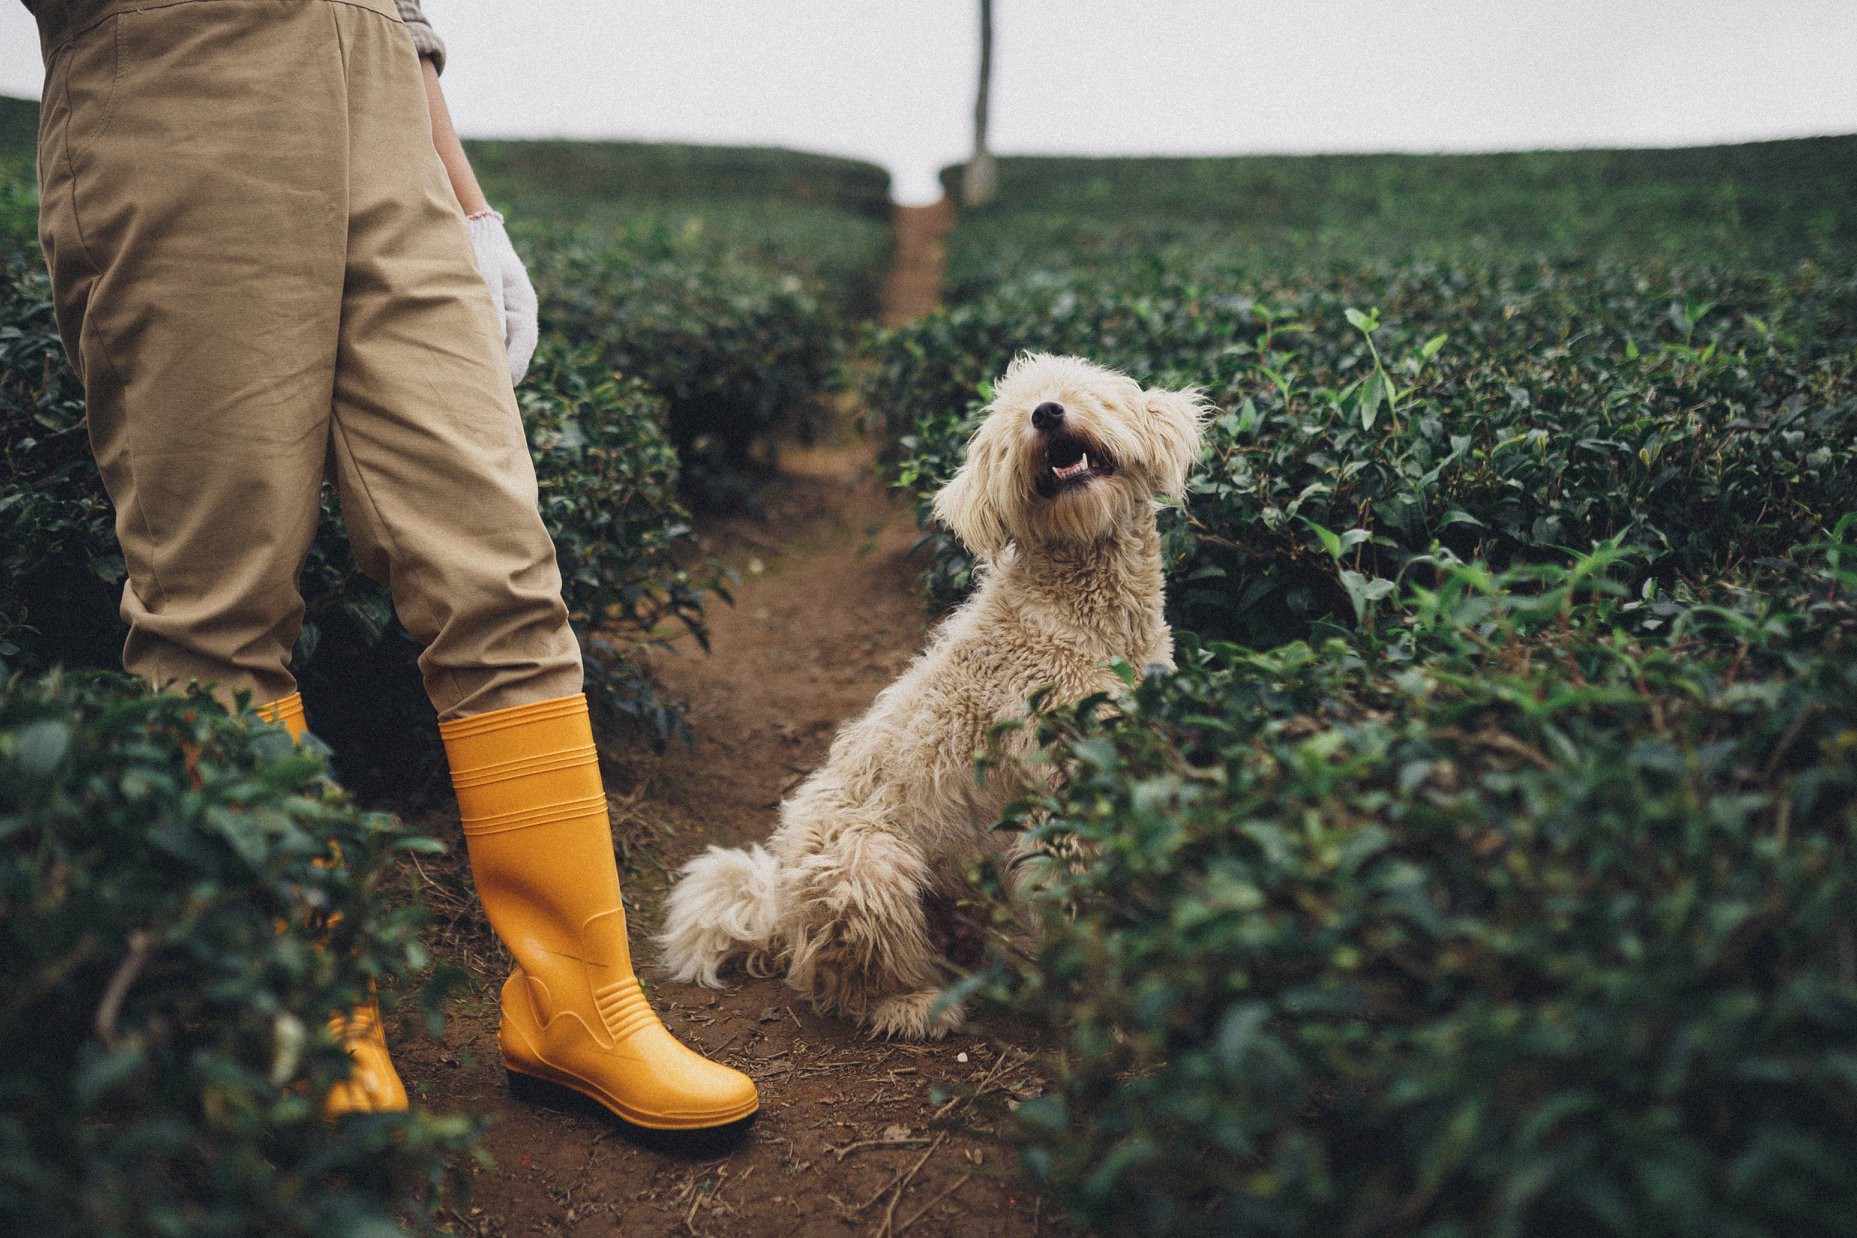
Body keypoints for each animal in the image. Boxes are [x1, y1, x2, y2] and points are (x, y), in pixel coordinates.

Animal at [661, 352, 1210, 1039]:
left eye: (1077, 393)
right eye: (1010, 425)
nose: (1045, 413)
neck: (1080, 619)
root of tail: (780, 911)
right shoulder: (1057, 799)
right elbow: (1082, 900)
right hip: (867, 864)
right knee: (837, 980)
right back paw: (913, 1006)